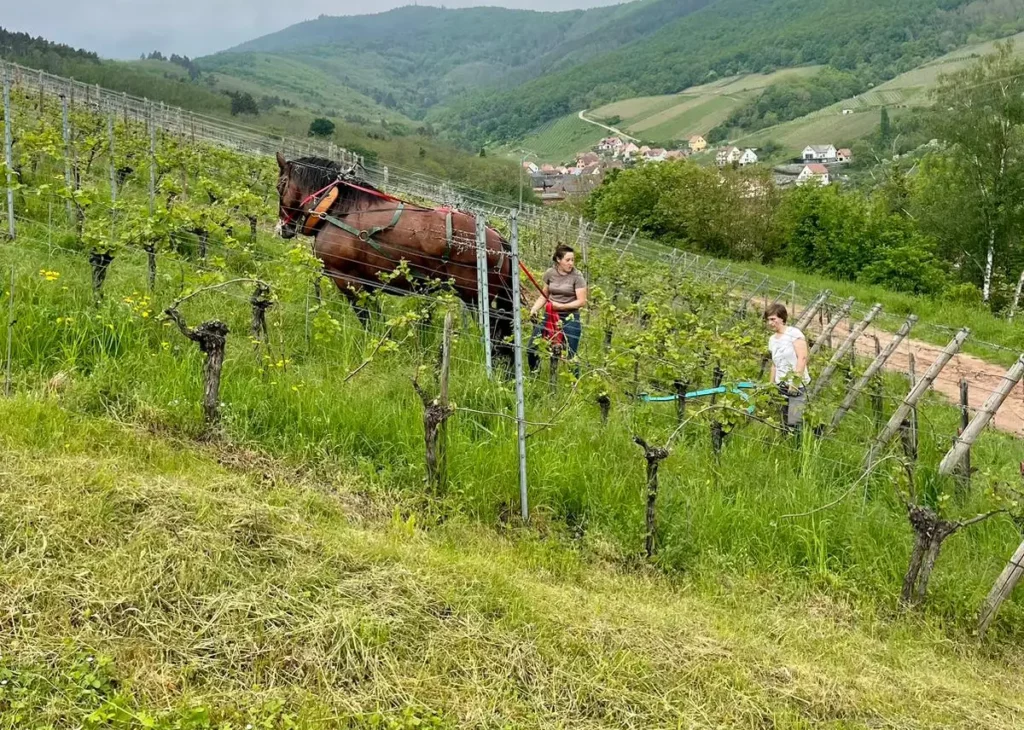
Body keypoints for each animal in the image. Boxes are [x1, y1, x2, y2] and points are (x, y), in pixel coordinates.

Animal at [274, 152, 516, 362]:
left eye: (279, 186)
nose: (282, 228)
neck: (338, 208)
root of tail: (498, 242)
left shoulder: (347, 279)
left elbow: (366, 319)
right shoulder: (368, 282)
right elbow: (378, 319)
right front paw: (386, 347)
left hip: (476, 298)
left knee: (496, 334)